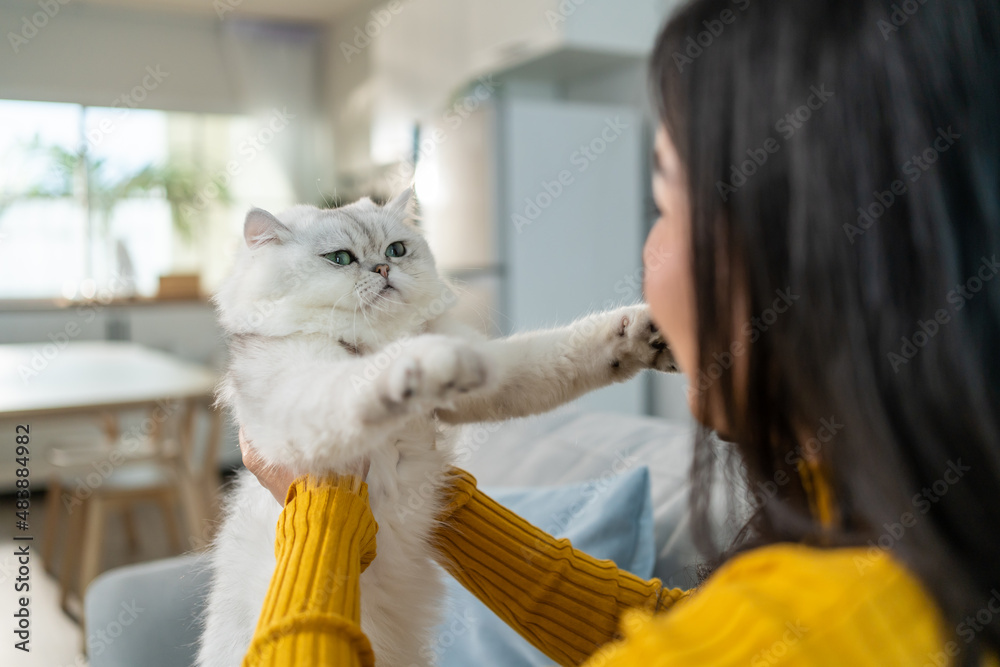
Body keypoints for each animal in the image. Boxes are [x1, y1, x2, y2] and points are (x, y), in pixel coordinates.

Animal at [198, 189, 676, 667]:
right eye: (340, 258)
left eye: (396, 250)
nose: (383, 269)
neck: (376, 338)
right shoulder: (297, 400)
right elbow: (361, 379)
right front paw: (424, 363)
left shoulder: (499, 373)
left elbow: (563, 351)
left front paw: (645, 335)